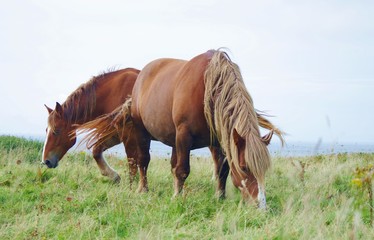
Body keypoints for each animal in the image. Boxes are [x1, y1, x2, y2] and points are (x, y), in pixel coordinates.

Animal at [78, 49, 284, 207]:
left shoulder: (220, 140)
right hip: (142, 132)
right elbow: (183, 169)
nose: (261, 206)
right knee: (143, 161)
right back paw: (143, 189)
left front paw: (220, 197)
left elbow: (222, 170)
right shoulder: (185, 135)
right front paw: (176, 197)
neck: (208, 88)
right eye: (244, 167)